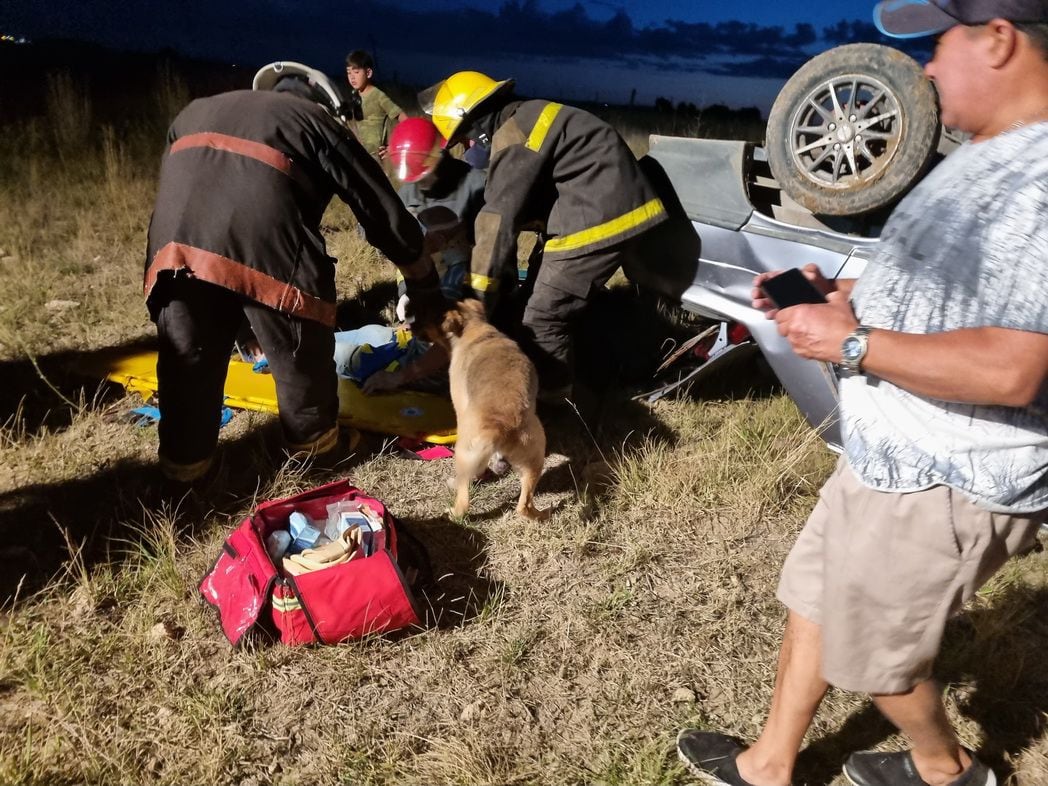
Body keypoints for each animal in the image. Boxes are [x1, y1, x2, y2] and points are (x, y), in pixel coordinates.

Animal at [431, 297, 553, 519]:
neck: (476, 330)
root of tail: (501, 425)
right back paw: (541, 514)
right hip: (534, 458)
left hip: (464, 454)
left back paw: (453, 507)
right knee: (524, 505)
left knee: (464, 500)